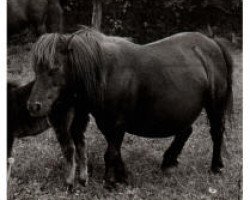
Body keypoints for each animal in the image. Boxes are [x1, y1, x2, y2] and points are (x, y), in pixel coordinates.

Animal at [26, 27, 232, 188]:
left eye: (55, 68)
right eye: (36, 70)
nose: (33, 106)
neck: (106, 73)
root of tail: (212, 42)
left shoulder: (118, 123)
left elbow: (110, 152)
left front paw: (110, 181)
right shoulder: (105, 123)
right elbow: (115, 151)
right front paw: (122, 177)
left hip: (215, 105)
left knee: (216, 132)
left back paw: (216, 166)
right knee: (185, 131)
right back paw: (169, 162)